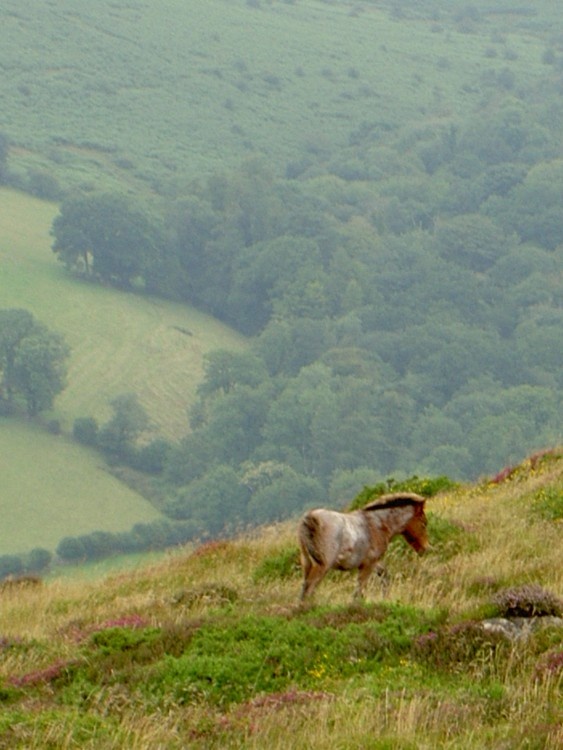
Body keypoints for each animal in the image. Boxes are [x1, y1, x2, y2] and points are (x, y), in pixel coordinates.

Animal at [300, 494, 428, 604]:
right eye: (424, 523)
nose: (425, 548)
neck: (377, 524)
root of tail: (309, 517)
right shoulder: (368, 565)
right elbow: (360, 591)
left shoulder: (372, 562)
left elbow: (384, 576)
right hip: (321, 566)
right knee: (309, 589)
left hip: (308, 563)